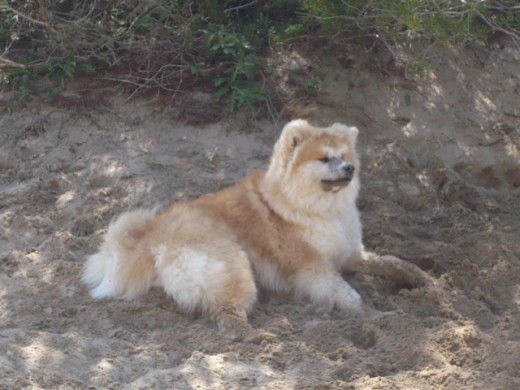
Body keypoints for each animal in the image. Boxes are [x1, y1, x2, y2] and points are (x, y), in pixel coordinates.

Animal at [84, 119, 426, 338]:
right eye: (325, 159)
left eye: (345, 157)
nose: (349, 168)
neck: (312, 208)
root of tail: (153, 238)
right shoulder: (314, 267)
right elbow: (348, 295)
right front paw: (378, 317)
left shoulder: (350, 251)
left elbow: (390, 262)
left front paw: (419, 278)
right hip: (231, 267)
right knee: (227, 313)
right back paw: (255, 337)